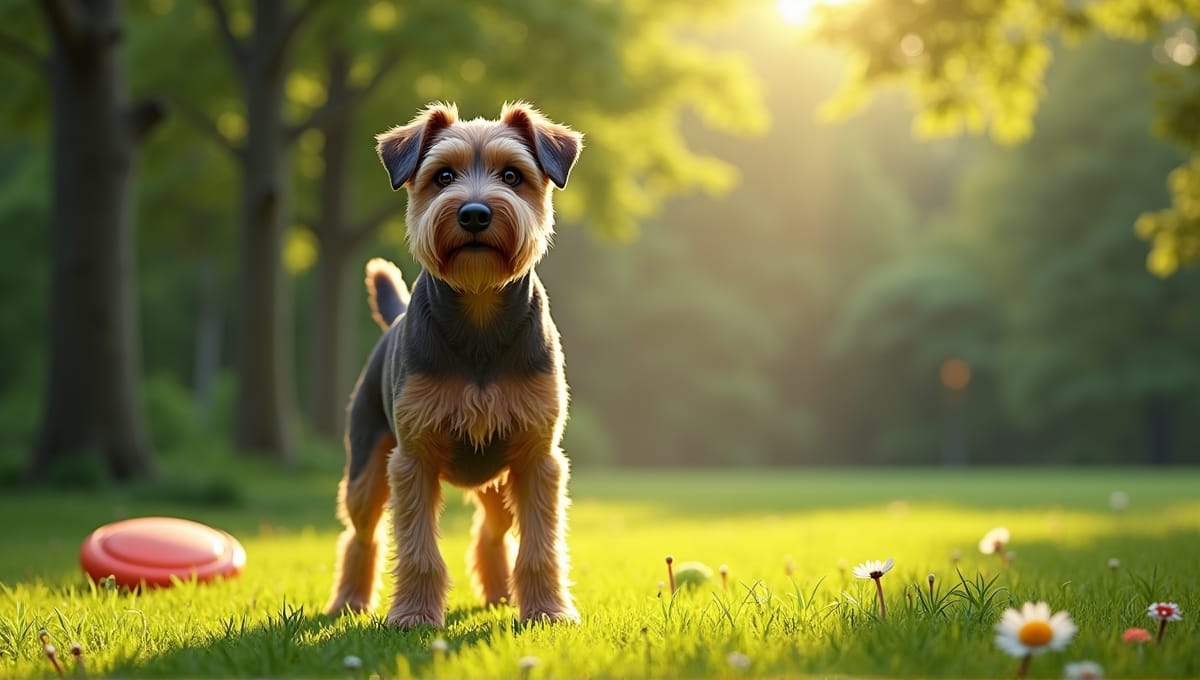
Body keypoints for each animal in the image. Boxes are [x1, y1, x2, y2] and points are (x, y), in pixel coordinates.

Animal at [324, 99, 585, 628]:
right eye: (443, 176)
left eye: (512, 175)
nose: (475, 213)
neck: (479, 315)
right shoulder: (413, 459)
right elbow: (418, 550)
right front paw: (413, 617)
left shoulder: (537, 458)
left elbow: (540, 547)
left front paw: (547, 610)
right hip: (366, 470)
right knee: (361, 535)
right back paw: (350, 601)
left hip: (499, 476)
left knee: (492, 529)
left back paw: (501, 593)